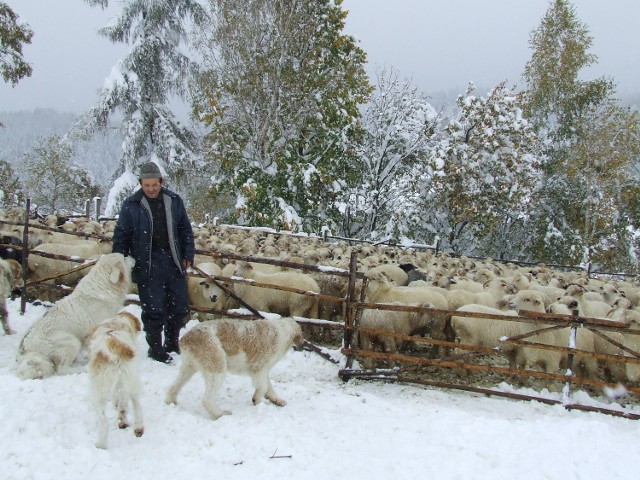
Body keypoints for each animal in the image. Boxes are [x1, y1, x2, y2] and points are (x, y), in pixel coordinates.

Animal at [165, 316, 304, 418]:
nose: (302, 346)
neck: (282, 331)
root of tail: (185, 338)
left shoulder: (263, 371)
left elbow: (268, 387)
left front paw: (276, 400)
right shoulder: (259, 369)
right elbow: (264, 387)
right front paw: (256, 399)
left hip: (188, 368)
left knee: (173, 387)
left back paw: (171, 401)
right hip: (217, 369)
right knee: (206, 399)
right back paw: (219, 414)